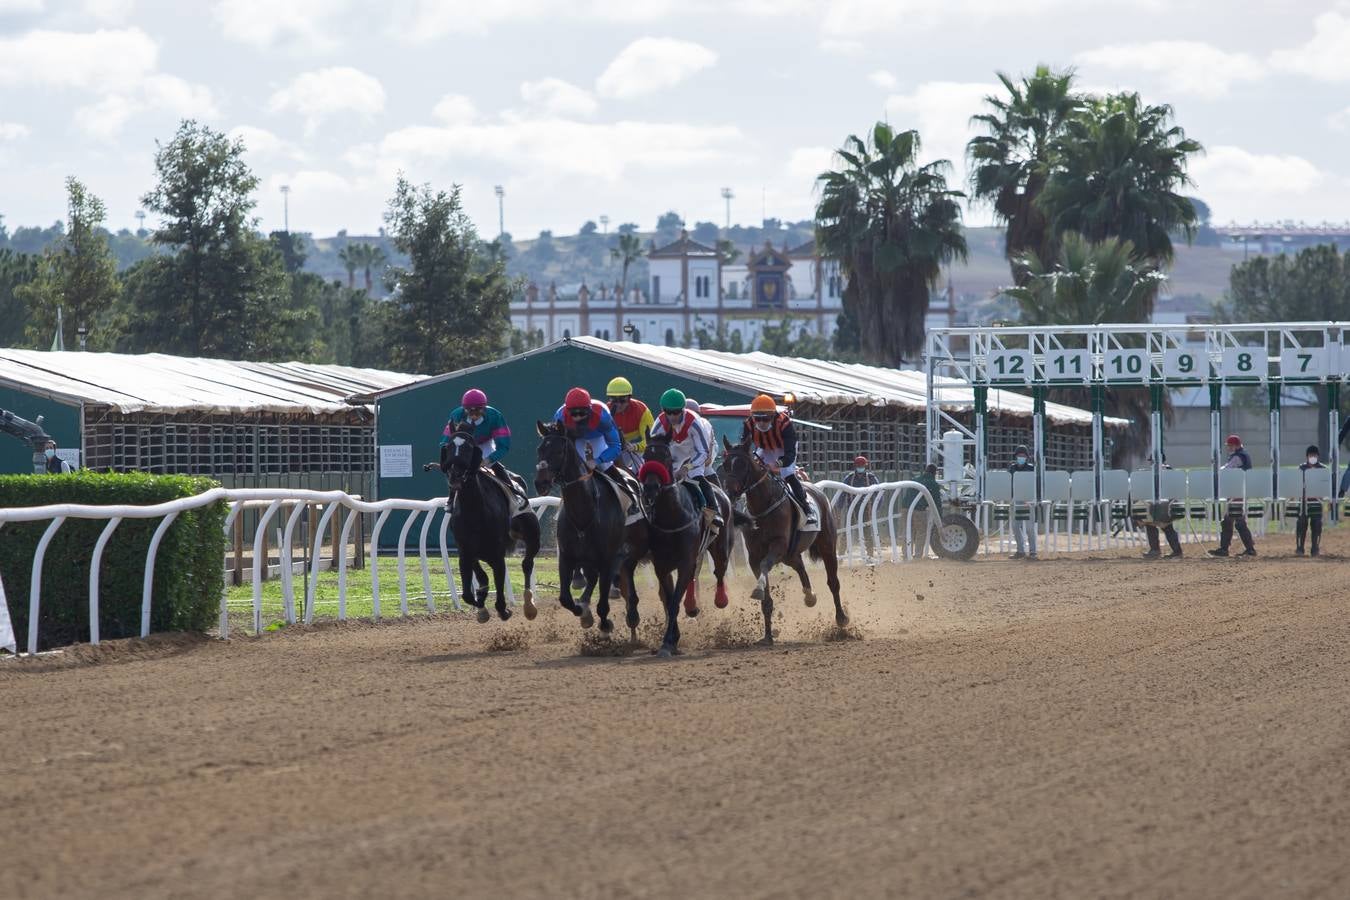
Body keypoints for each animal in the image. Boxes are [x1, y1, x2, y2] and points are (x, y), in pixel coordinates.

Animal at [426, 426, 542, 623]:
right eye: (449, 447)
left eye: (468, 448)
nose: (455, 475)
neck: (474, 510)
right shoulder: (465, 551)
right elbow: (472, 589)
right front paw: (481, 605)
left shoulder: (497, 553)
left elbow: (498, 586)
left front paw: (502, 609)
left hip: (533, 536)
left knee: (527, 564)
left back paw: (529, 606)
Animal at [534, 420, 645, 634]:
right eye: (540, 449)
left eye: (559, 451)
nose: (540, 483)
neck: (584, 510)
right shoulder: (567, 556)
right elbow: (565, 598)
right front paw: (583, 611)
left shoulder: (607, 559)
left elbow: (603, 603)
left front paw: (605, 624)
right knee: (593, 578)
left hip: (632, 548)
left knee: (626, 576)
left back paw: (632, 614)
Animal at [634, 434, 734, 655]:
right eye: (646, 456)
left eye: (666, 455)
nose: (650, 488)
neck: (672, 515)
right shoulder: (661, 566)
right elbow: (669, 599)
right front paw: (672, 639)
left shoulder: (684, 560)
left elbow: (673, 603)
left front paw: (667, 643)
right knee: (694, 577)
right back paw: (692, 605)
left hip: (721, 546)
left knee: (720, 570)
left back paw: (721, 599)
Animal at [718, 431, 842, 644]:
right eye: (726, 464)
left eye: (742, 464)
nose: (730, 492)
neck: (763, 506)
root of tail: (817, 490)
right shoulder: (755, 555)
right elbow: (765, 591)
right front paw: (767, 636)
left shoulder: (777, 546)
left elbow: (766, 566)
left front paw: (757, 589)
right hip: (790, 555)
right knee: (800, 566)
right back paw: (809, 596)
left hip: (826, 545)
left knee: (833, 581)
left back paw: (842, 619)